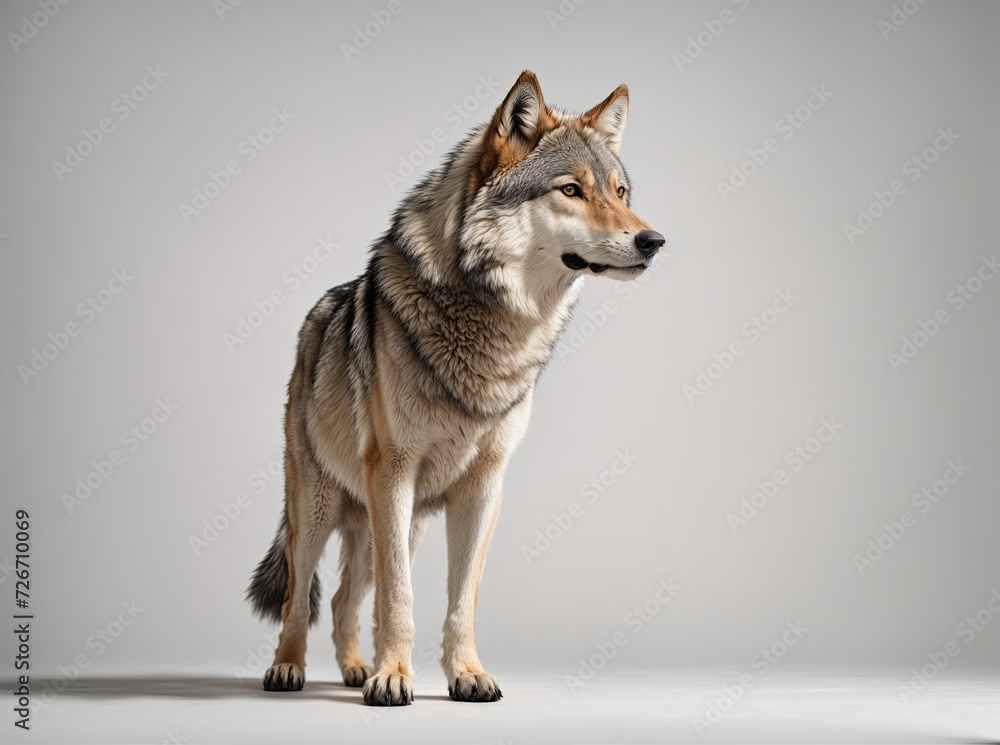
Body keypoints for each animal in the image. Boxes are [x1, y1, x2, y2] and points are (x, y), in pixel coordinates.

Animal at [246, 70, 664, 706]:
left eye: (621, 193)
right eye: (571, 190)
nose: (653, 241)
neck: (497, 326)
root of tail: (315, 317)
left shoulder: (483, 486)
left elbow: (461, 597)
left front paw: (464, 674)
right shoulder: (393, 473)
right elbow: (400, 598)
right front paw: (394, 679)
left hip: (394, 523)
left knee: (344, 599)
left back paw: (354, 669)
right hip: (320, 510)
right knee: (300, 597)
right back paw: (289, 670)